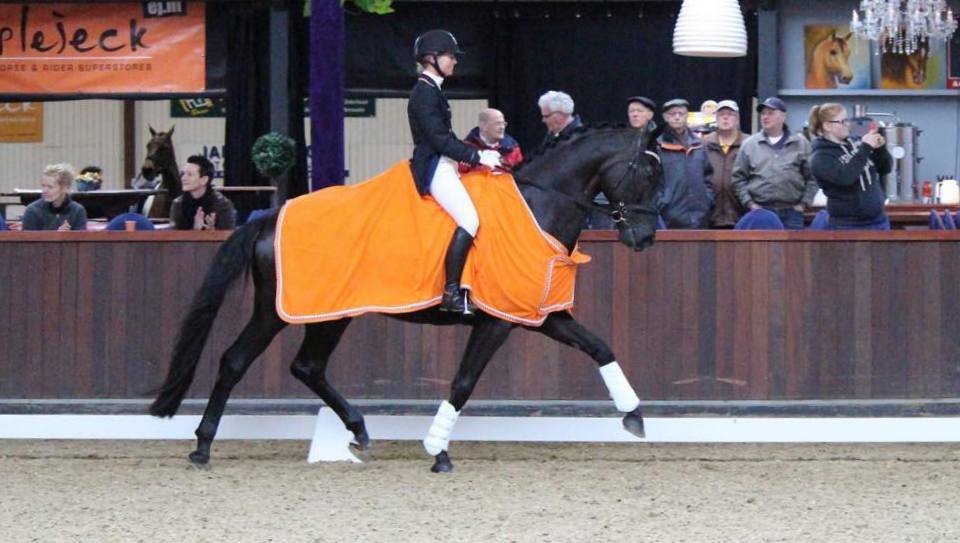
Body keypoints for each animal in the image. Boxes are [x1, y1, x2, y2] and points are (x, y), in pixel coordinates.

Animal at [152, 125, 660, 474]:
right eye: (647, 173)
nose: (645, 238)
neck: (539, 208)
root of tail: (270, 216)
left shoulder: (537, 313)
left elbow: (600, 347)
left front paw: (634, 415)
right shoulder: (496, 321)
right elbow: (464, 382)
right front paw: (438, 451)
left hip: (331, 312)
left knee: (306, 367)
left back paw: (358, 431)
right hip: (281, 311)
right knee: (236, 360)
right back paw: (202, 447)